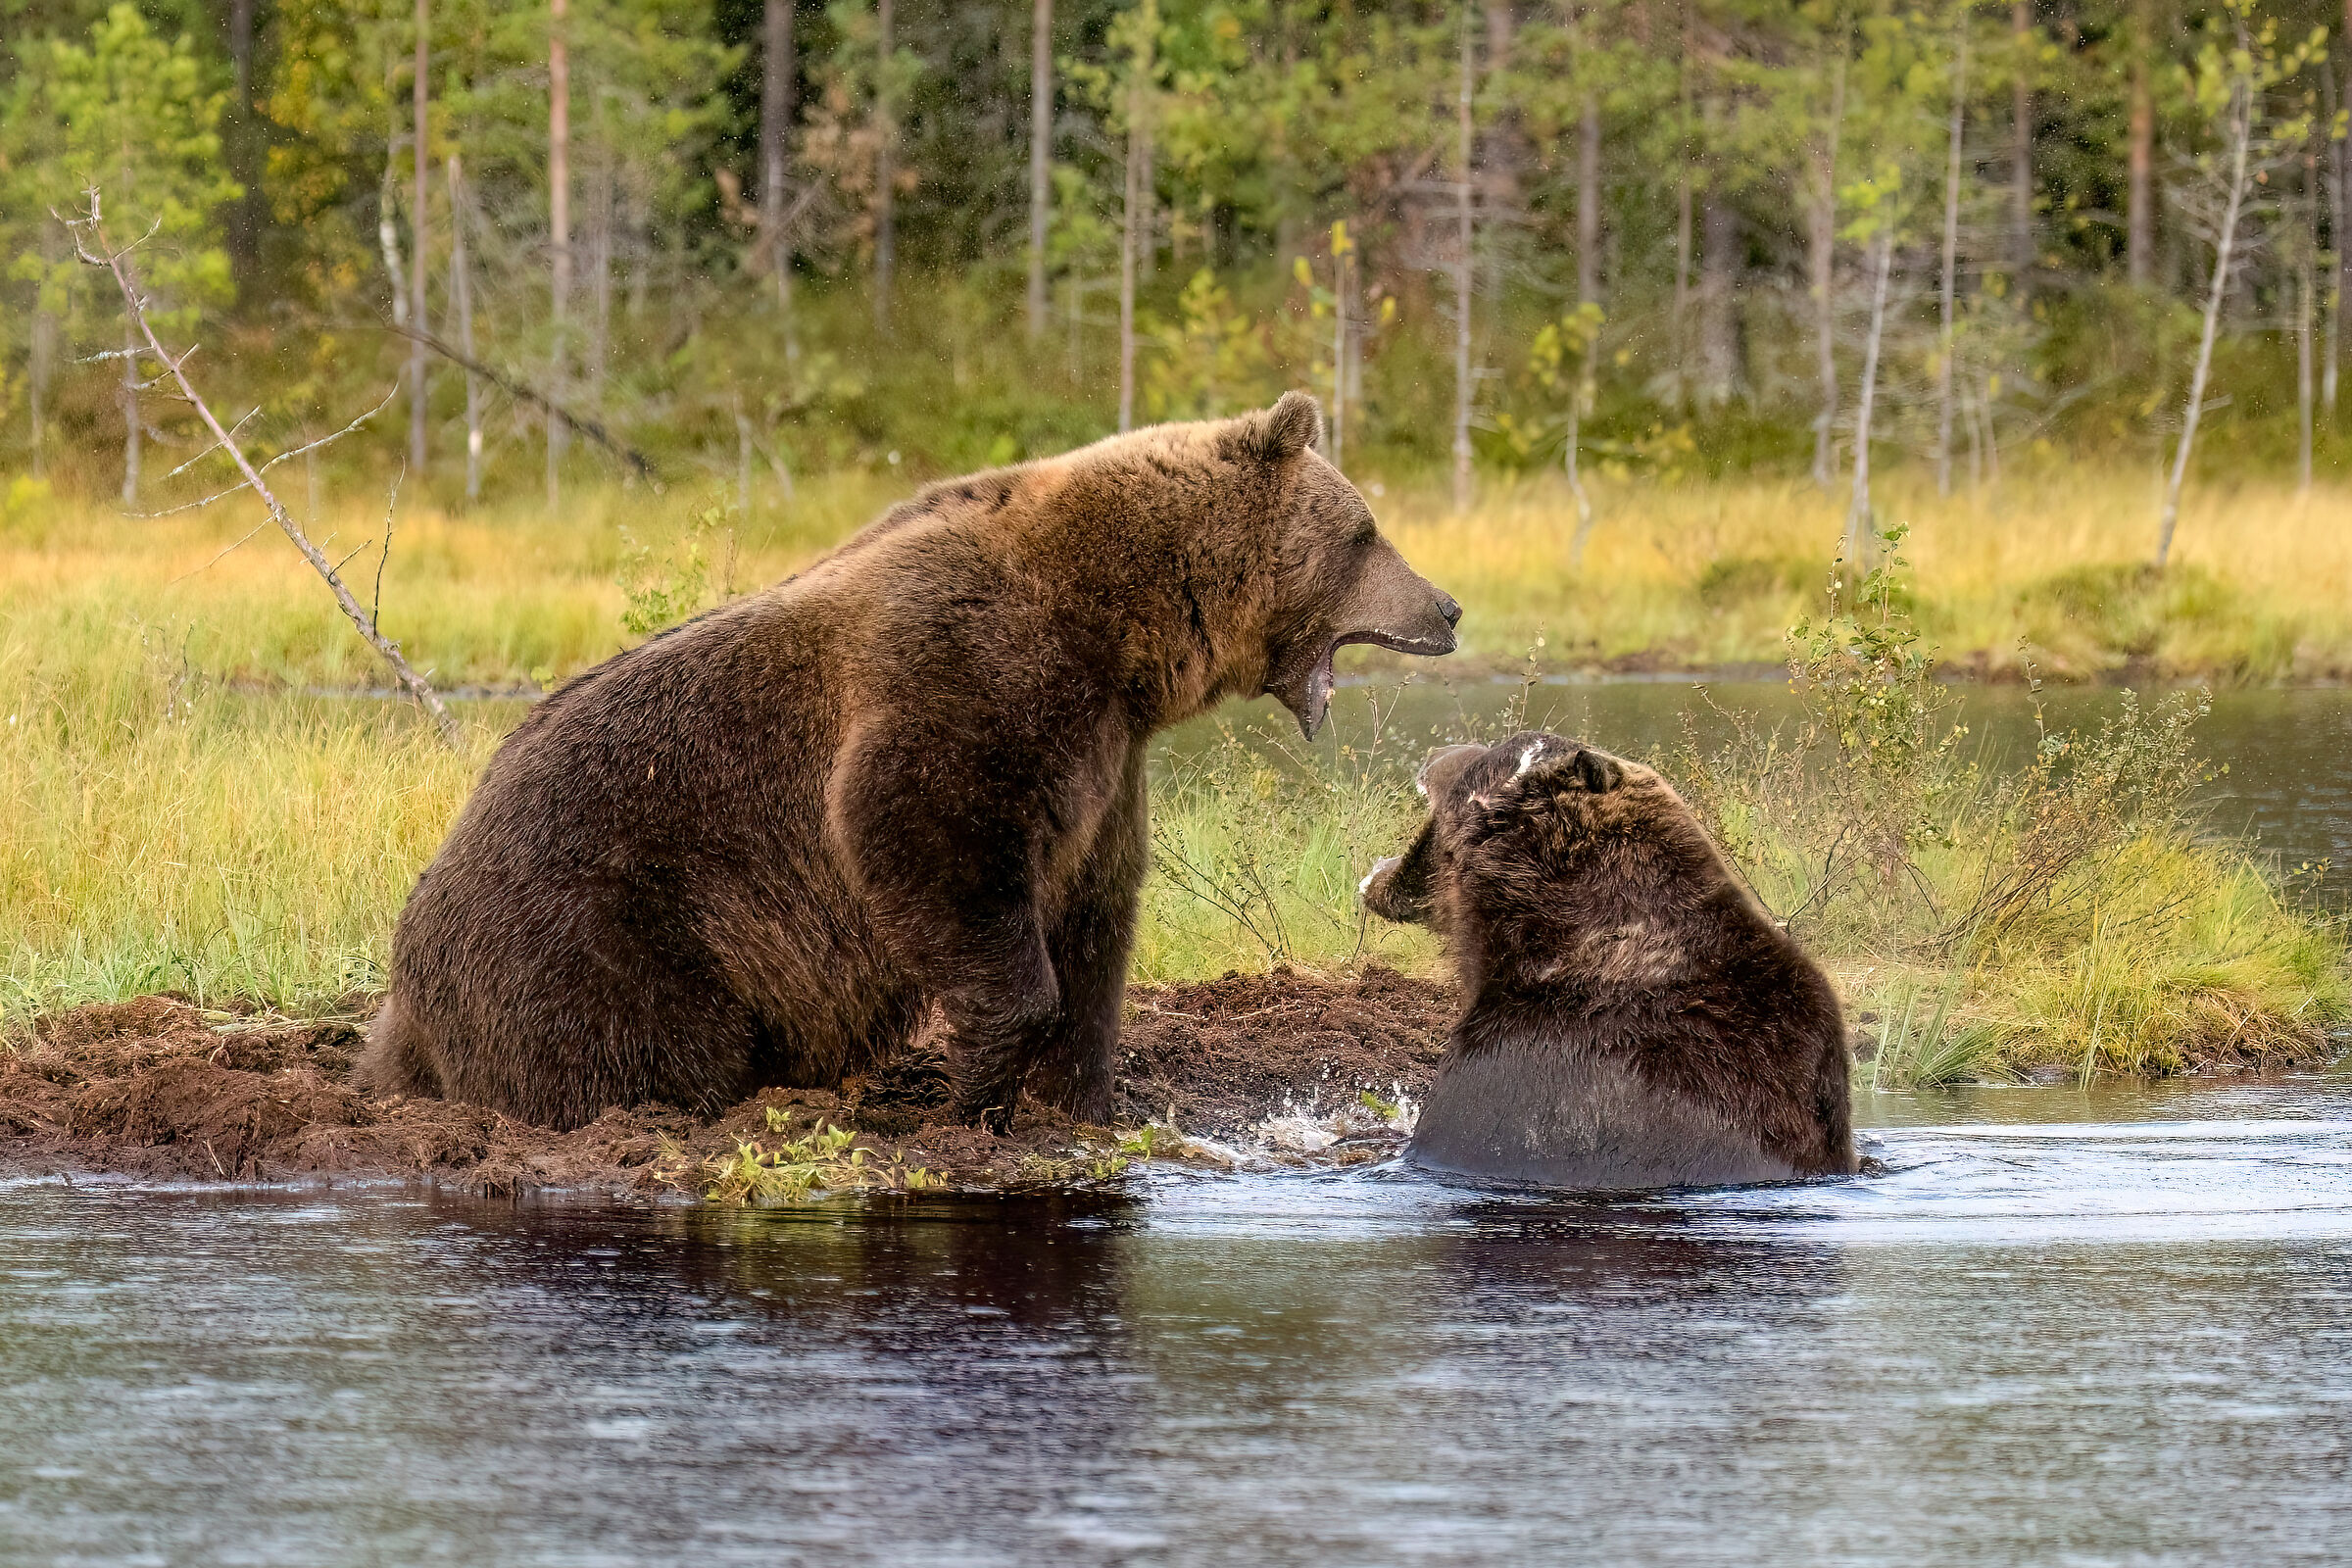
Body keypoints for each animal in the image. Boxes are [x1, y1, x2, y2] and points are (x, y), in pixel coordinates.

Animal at [363, 392, 1460, 1133]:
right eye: (1365, 530)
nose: (1447, 606)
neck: (1118, 629)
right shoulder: (968, 676)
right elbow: (922, 832)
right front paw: (978, 1091)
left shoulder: (1106, 761)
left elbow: (1096, 917)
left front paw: (1083, 1094)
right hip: (601, 918)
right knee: (634, 1046)